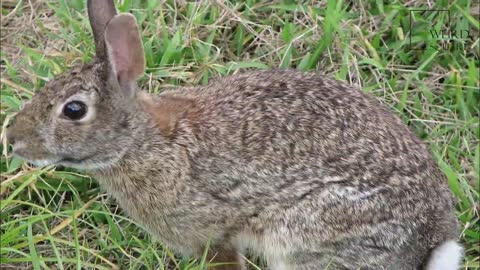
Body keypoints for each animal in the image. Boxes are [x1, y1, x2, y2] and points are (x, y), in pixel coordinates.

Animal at [5, 0, 464, 270]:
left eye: (74, 110)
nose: (11, 138)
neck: (144, 143)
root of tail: (430, 242)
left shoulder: (212, 233)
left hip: (305, 238)